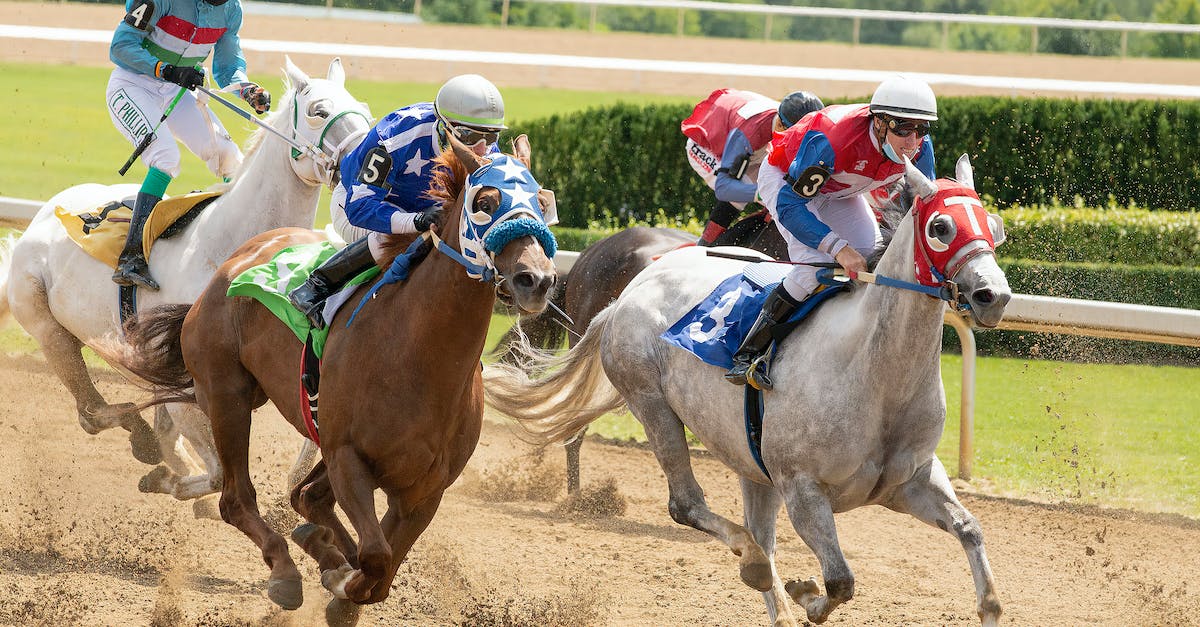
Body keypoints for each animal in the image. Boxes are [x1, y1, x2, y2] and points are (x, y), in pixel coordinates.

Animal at [0, 58, 370, 506]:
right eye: (318, 110)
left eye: (364, 109)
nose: (373, 159)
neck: (235, 246)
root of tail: (44, 215)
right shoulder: (191, 387)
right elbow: (216, 471)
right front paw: (178, 486)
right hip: (48, 326)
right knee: (93, 412)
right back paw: (141, 441)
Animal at [105, 133, 557, 621]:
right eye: (485, 202)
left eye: (541, 202)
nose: (537, 279)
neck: (420, 356)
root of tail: (235, 260)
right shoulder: (347, 458)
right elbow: (375, 556)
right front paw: (337, 574)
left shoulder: (424, 490)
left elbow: (381, 571)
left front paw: (338, 576)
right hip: (229, 397)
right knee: (237, 499)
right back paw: (286, 570)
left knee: (306, 497)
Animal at [482, 156, 1009, 626]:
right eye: (941, 226)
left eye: (994, 226)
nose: (994, 295)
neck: (876, 376)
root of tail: (628, 294)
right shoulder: (802, 490)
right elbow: (840, 580)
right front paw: (805, 593)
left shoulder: (911, 482)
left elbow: (971, 530)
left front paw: (988, 606)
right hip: (651, 403)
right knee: (692, 507)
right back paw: (745, 559)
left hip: (749, 458)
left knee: (758, 532)